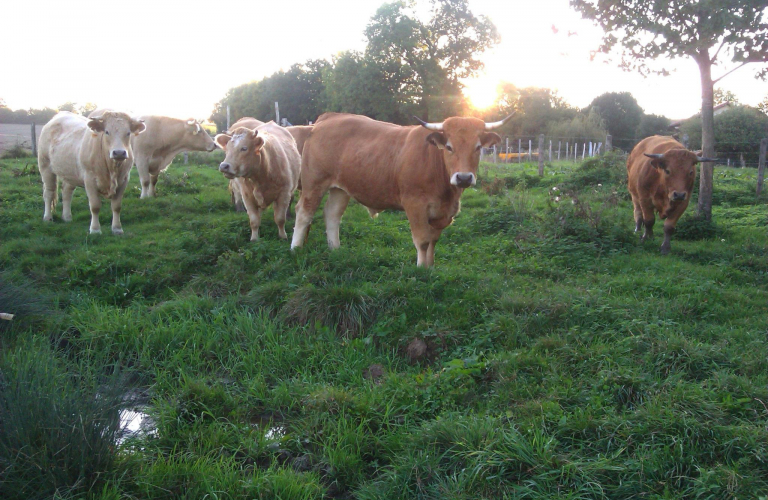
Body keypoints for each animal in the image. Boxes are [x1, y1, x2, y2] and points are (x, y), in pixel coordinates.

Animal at [292, 110, 512, 266]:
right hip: (314, 183)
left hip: (341, 188)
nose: (464, 177)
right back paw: (295, 248)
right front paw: (421, 270)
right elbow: (422, 240)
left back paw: (335, 249)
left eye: (478, 147)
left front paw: (430, 267)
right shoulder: (415, 204)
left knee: (332, 214)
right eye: (449, 147)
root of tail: (328, 118)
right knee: (304, 213)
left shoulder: (441, 213)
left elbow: (433, 241)